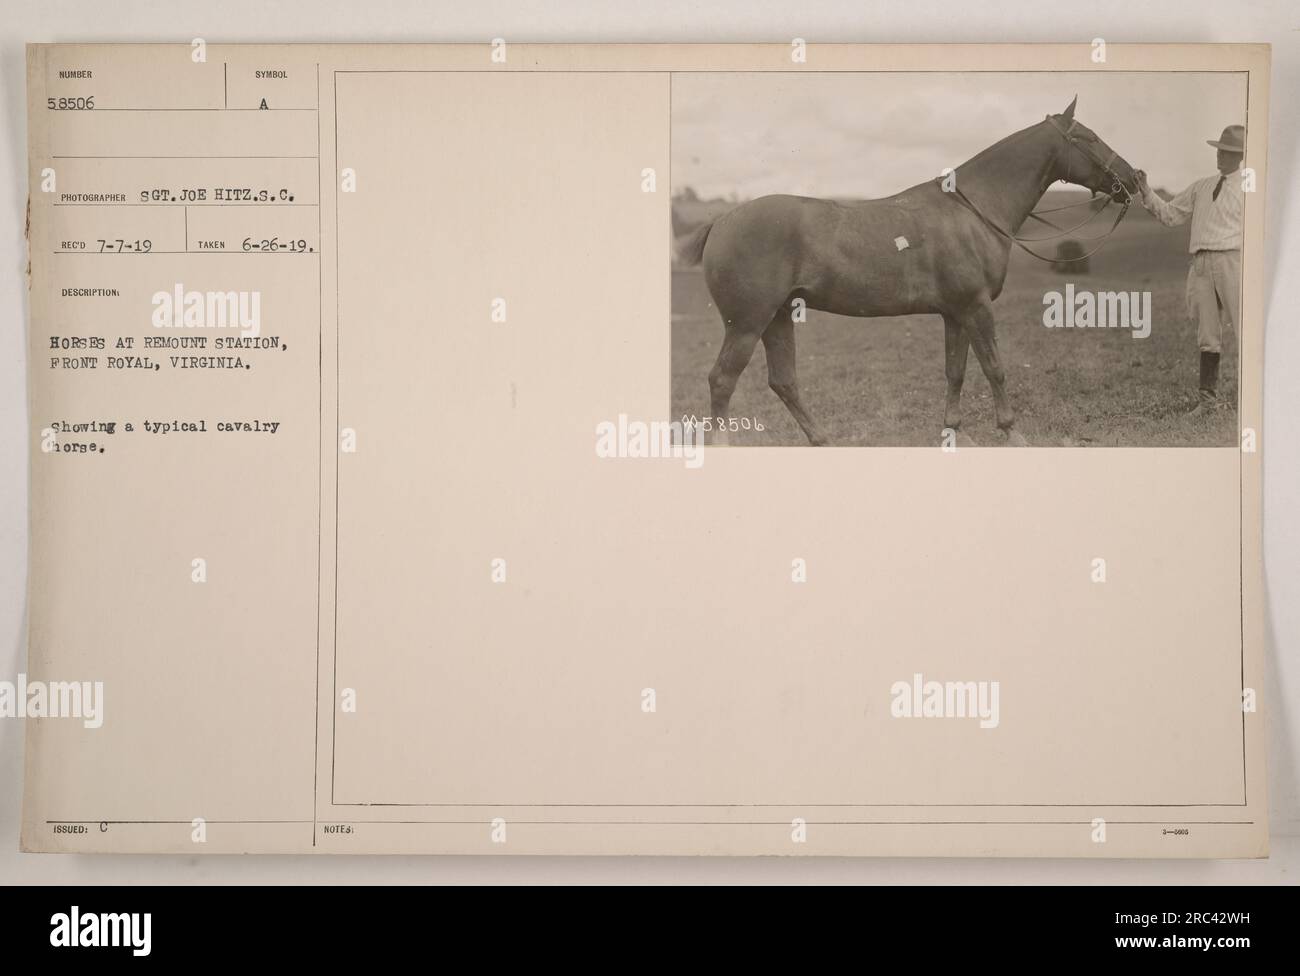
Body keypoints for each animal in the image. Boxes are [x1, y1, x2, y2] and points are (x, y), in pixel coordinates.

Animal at [675, 97, 1138, 446]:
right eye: (1089, 138)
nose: (1135, 179)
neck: (970, 210)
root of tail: (722, 220)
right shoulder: (977, 308)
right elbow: (995, 368)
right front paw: (1012, 432)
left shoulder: (955, 313)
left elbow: (956, 371)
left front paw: (954, 431)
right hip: (747, 322)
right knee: (722, 380)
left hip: (778, 317)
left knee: (784, 381)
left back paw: (822, 439)